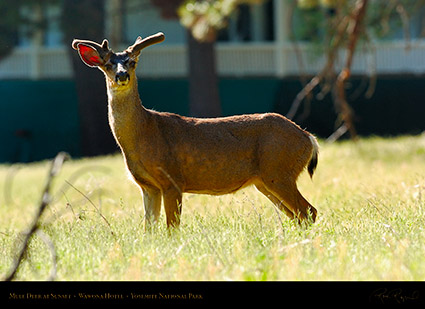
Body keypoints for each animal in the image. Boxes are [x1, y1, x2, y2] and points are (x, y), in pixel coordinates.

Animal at [72, 31, 318, 229]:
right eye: (107, 65)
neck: (145, 132)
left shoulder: (172, 178)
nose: (122, 75)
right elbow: (148, 229)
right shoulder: (148, 186)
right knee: (299, 215)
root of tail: (308, 137)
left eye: (132, 62)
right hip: (265, 181)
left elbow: (172, 228)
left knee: (308, 211)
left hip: (279, 170)